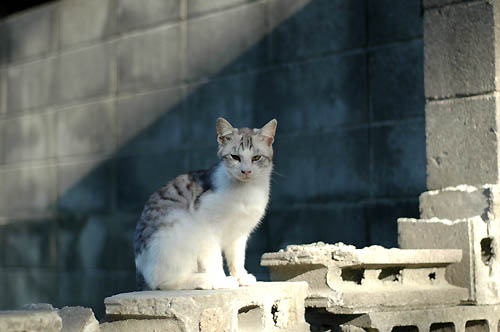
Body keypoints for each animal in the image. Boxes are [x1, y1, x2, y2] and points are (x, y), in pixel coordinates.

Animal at [133, 117, 278, 290]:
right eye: (235, 157)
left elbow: (236, 257)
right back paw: (205, 280)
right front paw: (221, 280)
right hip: (179, 225)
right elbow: (214, 259)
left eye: (256, 158)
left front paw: (241, 277)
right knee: (164, 281)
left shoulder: (239, 234)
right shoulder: (207, 229)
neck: (245, 192)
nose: (246, 171)